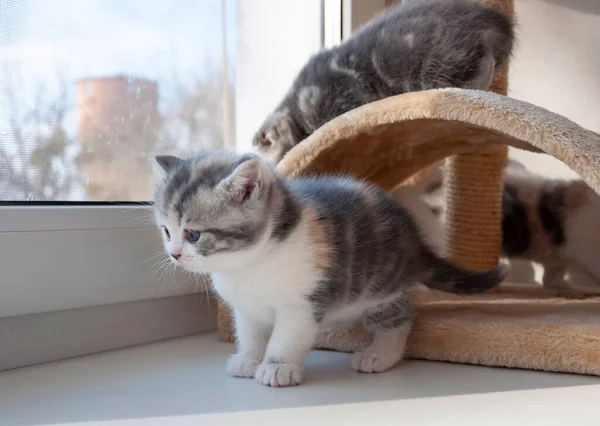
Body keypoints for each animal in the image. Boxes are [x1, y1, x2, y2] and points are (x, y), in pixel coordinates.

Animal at [152, 151, 504, 388]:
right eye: (166, 231)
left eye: (193, 234)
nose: (174, 254)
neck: (250, 262)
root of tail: (414, 238)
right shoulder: (246, 308)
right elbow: (251, 334)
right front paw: (249, 359)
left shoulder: (302, 303)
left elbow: (287, 337)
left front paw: (277, 367)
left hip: (380, 287)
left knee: (400, 318)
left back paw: (380, 354)